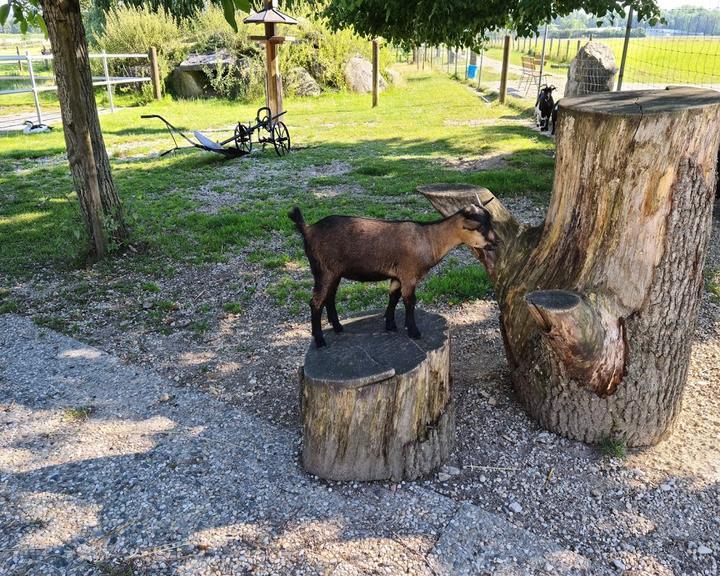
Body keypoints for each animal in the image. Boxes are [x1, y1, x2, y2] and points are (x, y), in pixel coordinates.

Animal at [288, 206, 496, 346]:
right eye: (480, 227)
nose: (496, 243)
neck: (428, 239)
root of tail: (308, 229)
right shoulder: (408, 274)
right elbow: (409, 301)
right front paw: (413, 331)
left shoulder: (397, 276)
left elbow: (393, 297)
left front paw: (390, 325)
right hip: (324, 270)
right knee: (316, 302)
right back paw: (320, 340)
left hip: (334, 272)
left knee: (329, 297)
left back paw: (338, 327)